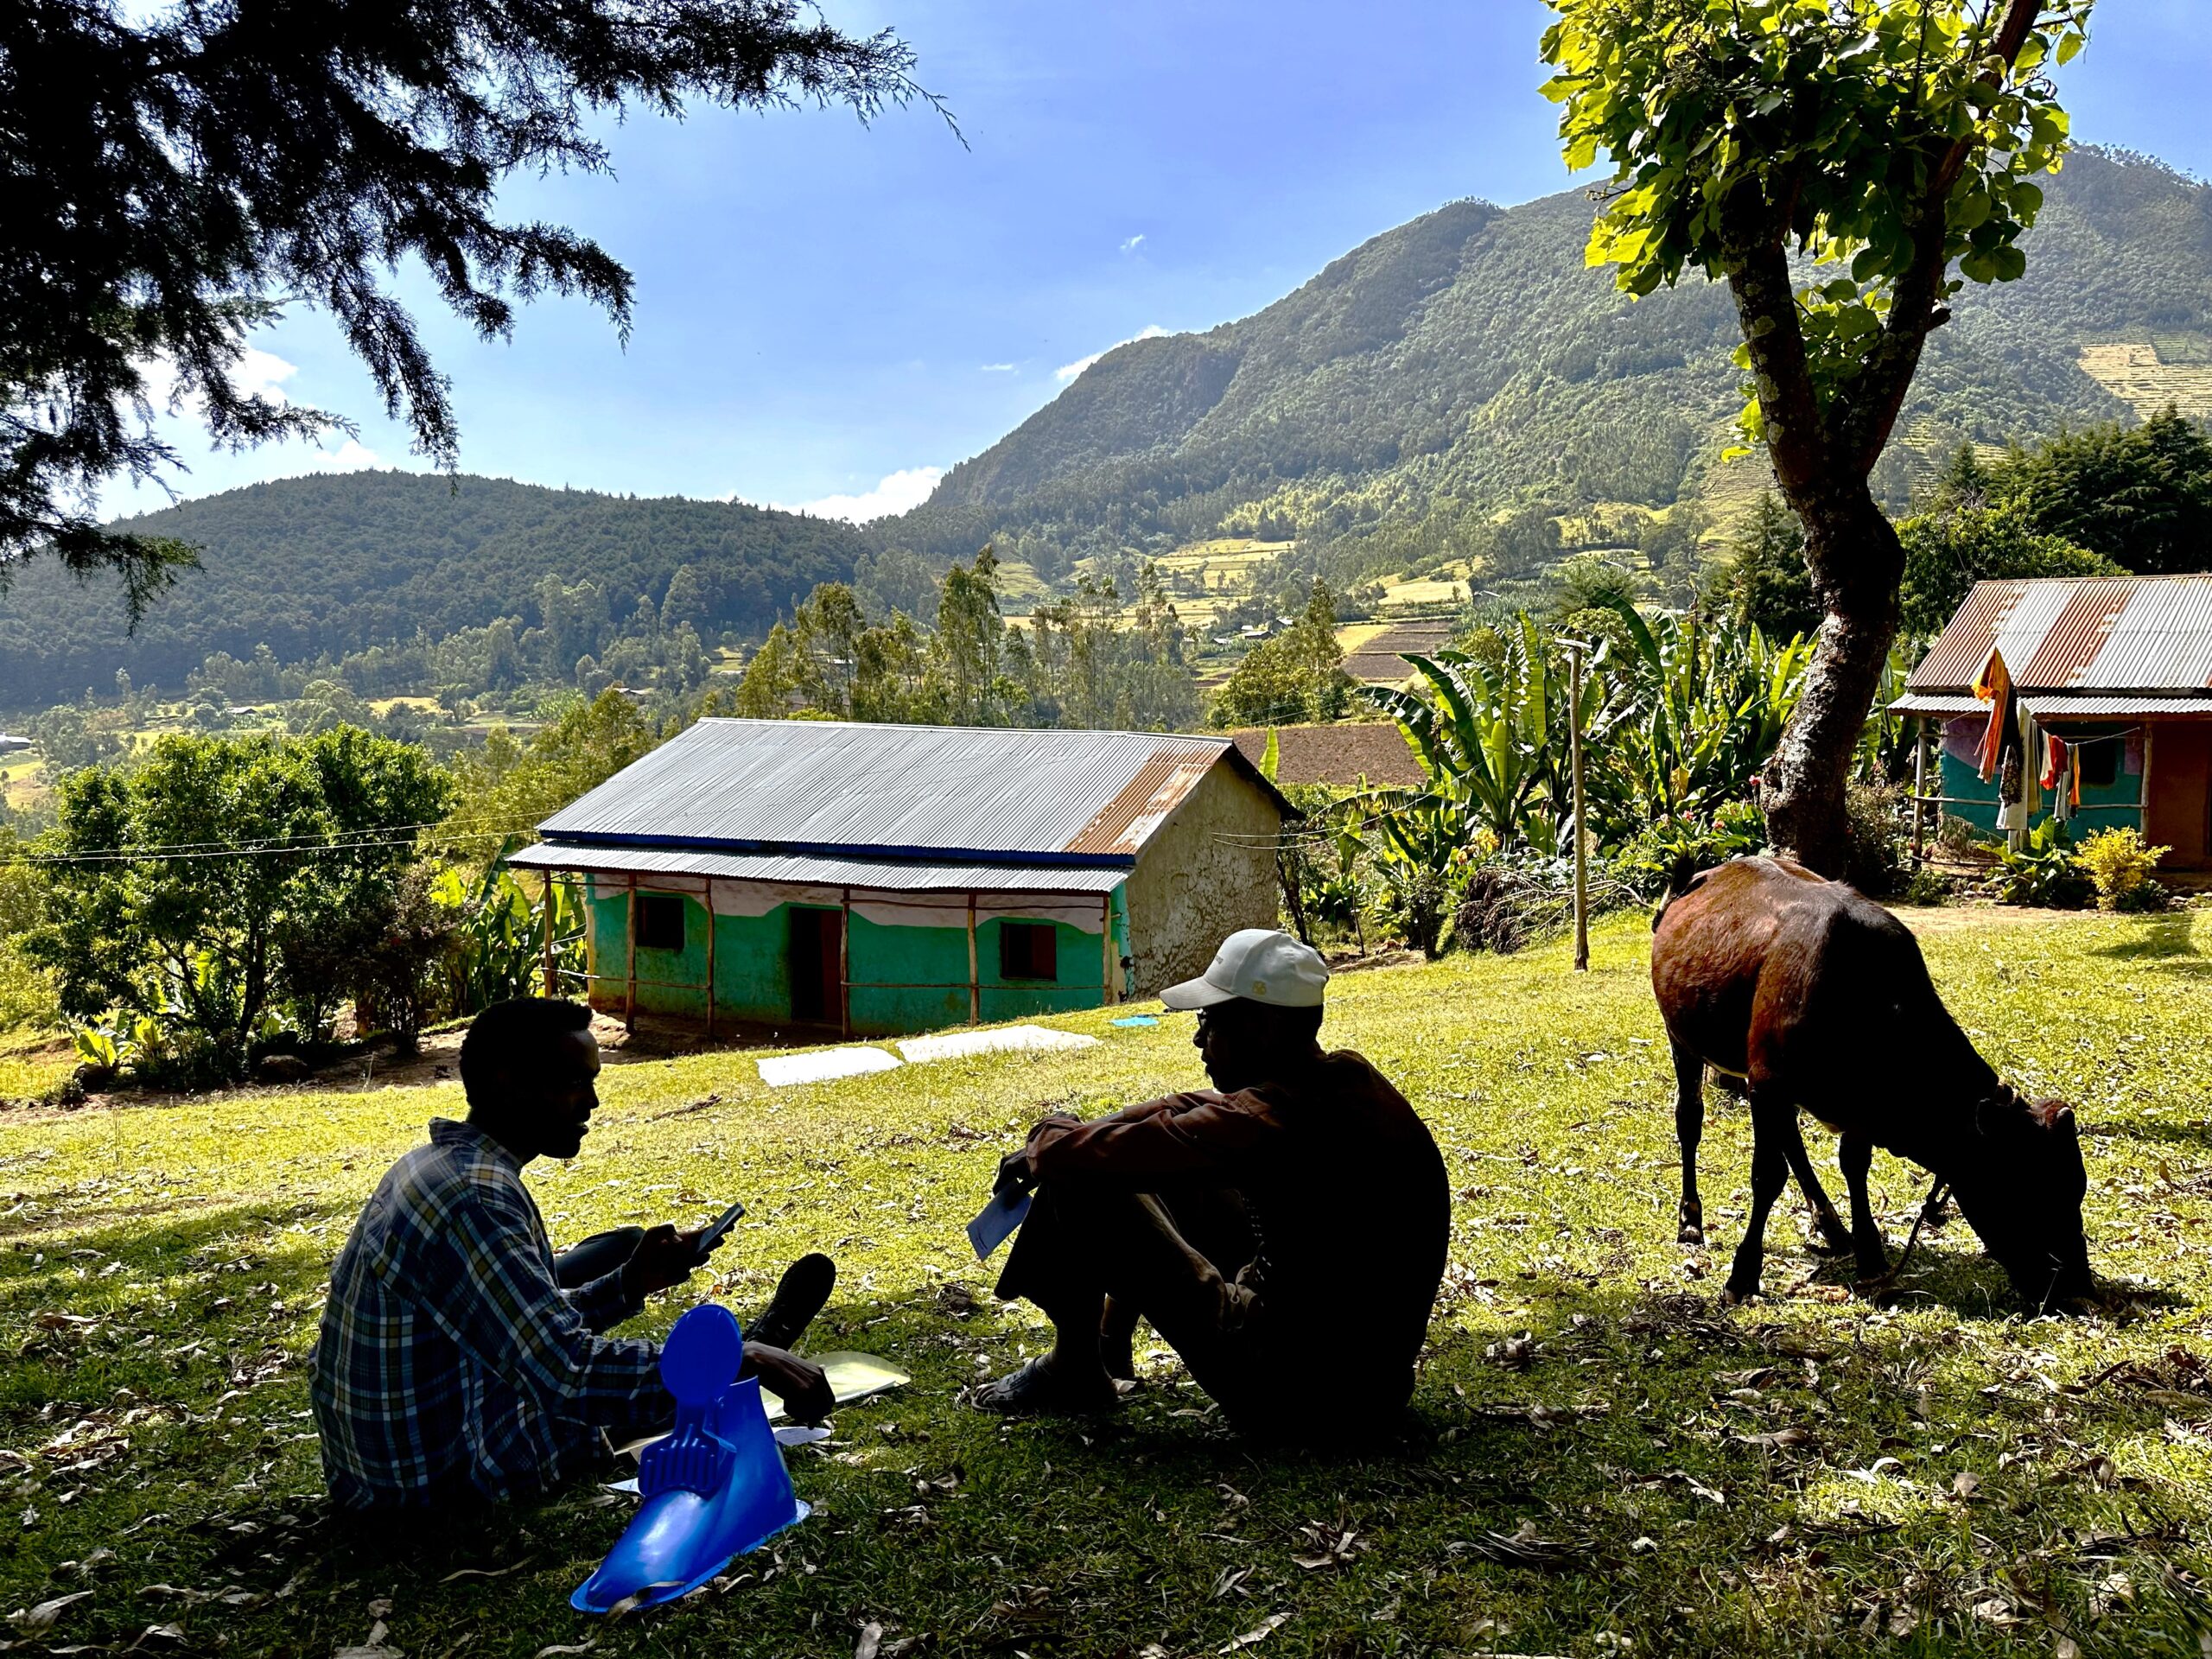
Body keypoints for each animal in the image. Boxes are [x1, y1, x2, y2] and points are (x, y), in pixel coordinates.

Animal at [1651, 856, 2092, 1311]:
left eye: (2076, 1190)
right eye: (2027, 1190)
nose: (2078, 1285)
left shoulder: (1854, 1109)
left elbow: (1853, 1166)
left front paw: (1869, 1253)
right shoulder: (1767, 1084)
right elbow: (1767, 1176)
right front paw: (1743, 1274)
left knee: (1792, 1141)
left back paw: (1830, 1225)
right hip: (1683, 1040)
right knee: (1690, 1120)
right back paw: (1690, 1220)